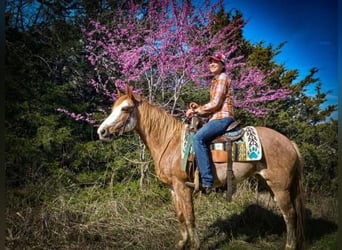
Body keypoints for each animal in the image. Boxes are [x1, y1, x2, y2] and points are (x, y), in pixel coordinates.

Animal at [96, 86, 304, 250]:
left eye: (125, 108)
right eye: (113, 108)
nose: (101, 132)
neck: (170, 142)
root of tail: (289, 142)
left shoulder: (183, 187)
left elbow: (190, 217)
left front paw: (194, 245)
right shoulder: (173, 189)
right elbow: (180, 216)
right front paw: (182, 243)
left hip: (280, 187)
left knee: (290, 214)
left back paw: (289, 245)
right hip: (273, 184)